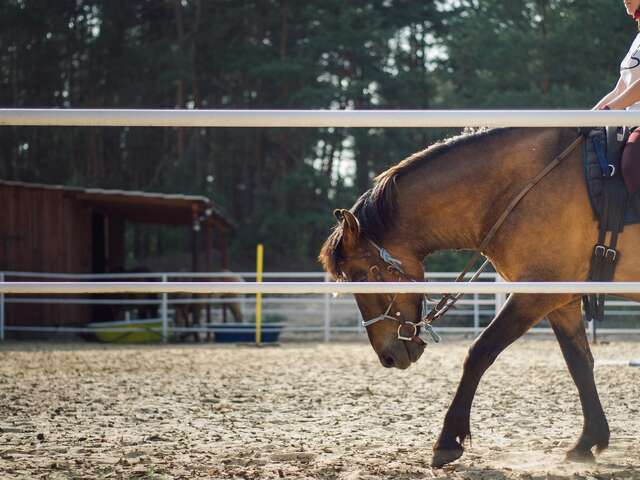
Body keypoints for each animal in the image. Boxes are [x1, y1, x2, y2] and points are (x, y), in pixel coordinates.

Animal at [320, 127, 640, 468]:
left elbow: (480, 352)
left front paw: (447, 441)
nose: (388, 357)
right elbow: (579, 363)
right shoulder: (560, 300)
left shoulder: (535, 294)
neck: (525, 185)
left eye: (360, 277)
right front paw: (588, 441)